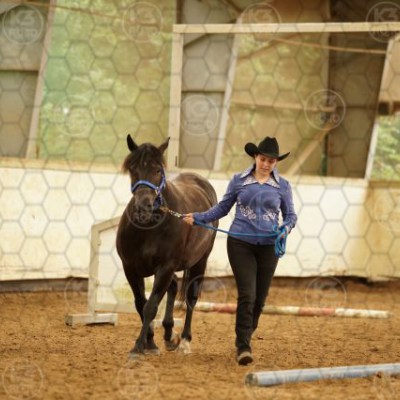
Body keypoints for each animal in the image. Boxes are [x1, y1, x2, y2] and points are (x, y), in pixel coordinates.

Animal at [116, 134, 218, 356]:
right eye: (132, 169)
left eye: (157, 170)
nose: (143, 207)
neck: (149, 227)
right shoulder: (130, 268)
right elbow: (140, 304)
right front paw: (150, 341)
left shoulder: (165, 268)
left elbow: (150, 306)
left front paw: (140, 345)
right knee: (173, 287)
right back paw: (170, 334)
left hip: (200, 262)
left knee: (191, 298)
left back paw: (185, 340)